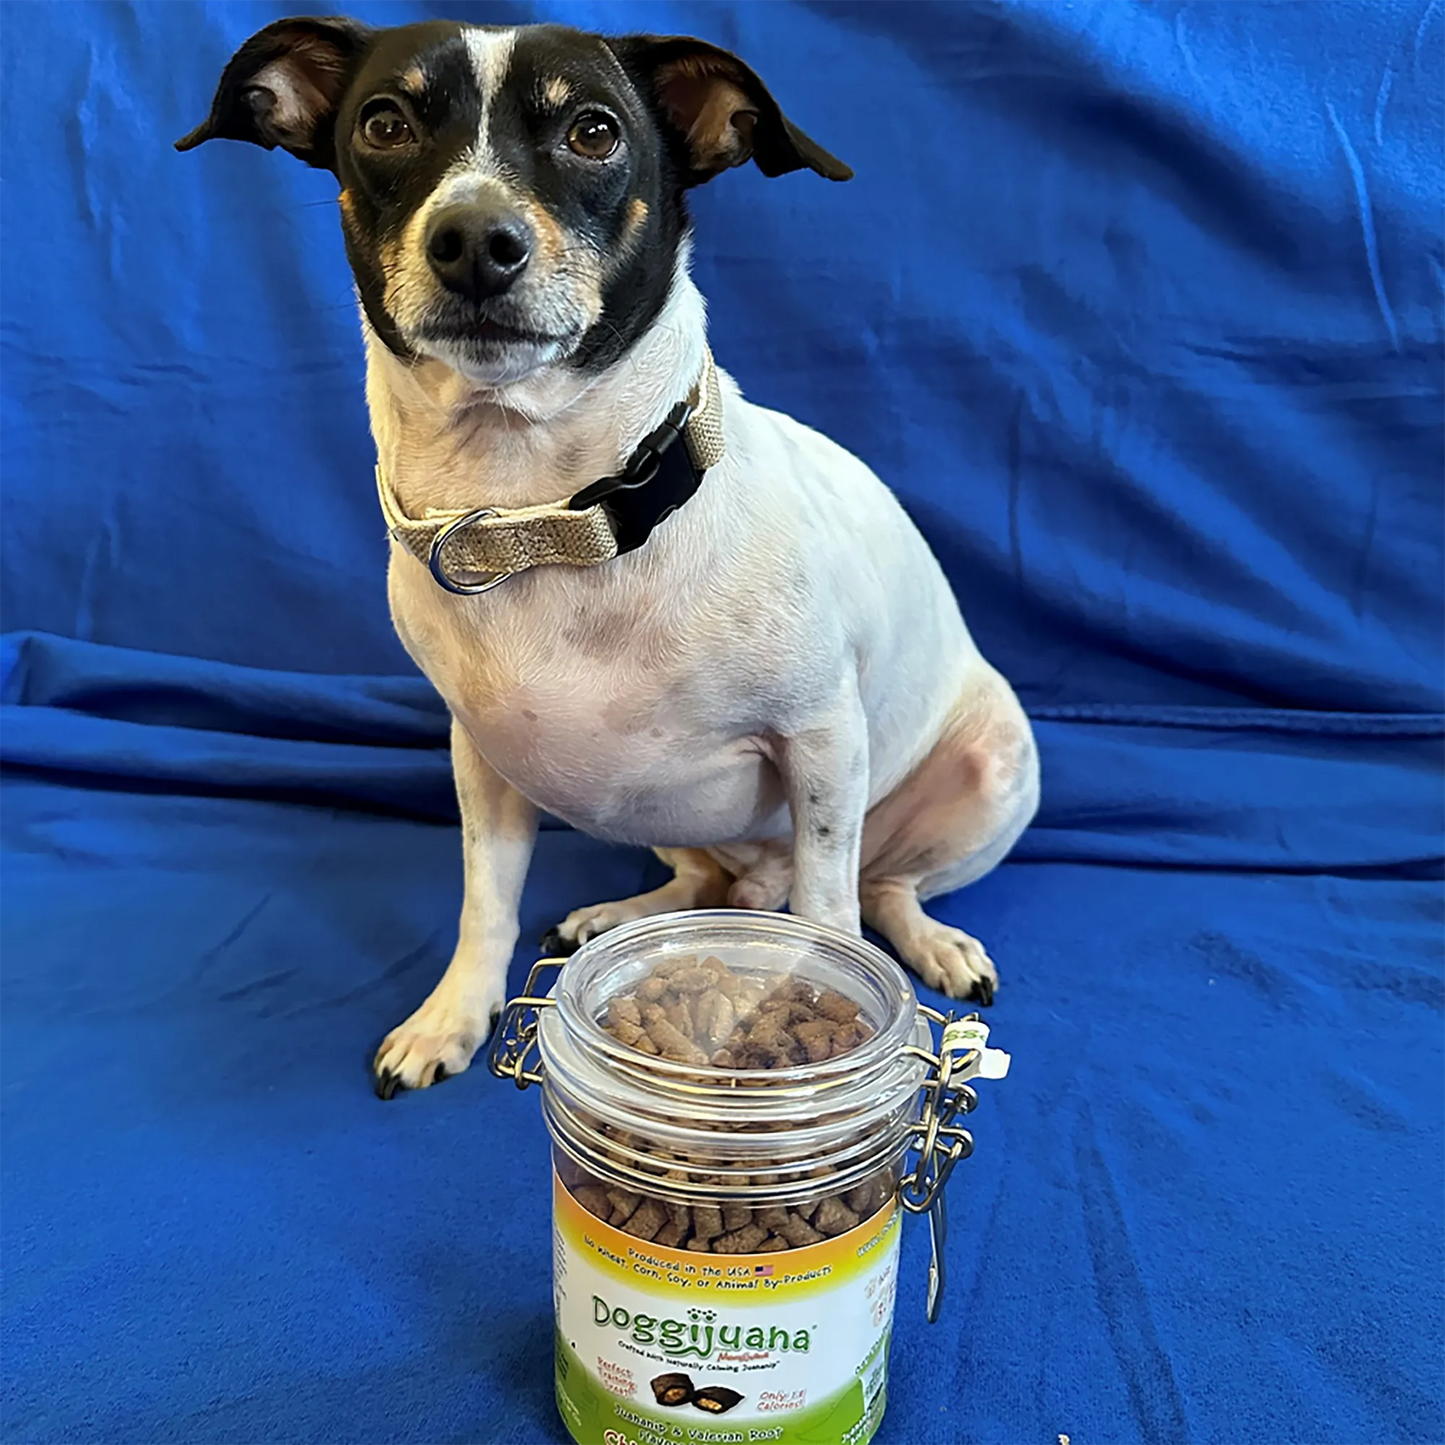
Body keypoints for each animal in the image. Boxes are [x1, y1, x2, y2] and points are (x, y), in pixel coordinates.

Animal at [180, 14, 1040, 1092]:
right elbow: (484, 901)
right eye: (384, 122)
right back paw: (623, 915)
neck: (541, 510)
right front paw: (453, 1016)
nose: (475, 240)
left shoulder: (820, 743)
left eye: (594, 131)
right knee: (706, 874)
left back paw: (931, 940)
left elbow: (830, 907)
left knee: (878, 884)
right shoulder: (481, 759)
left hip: (988, 770)